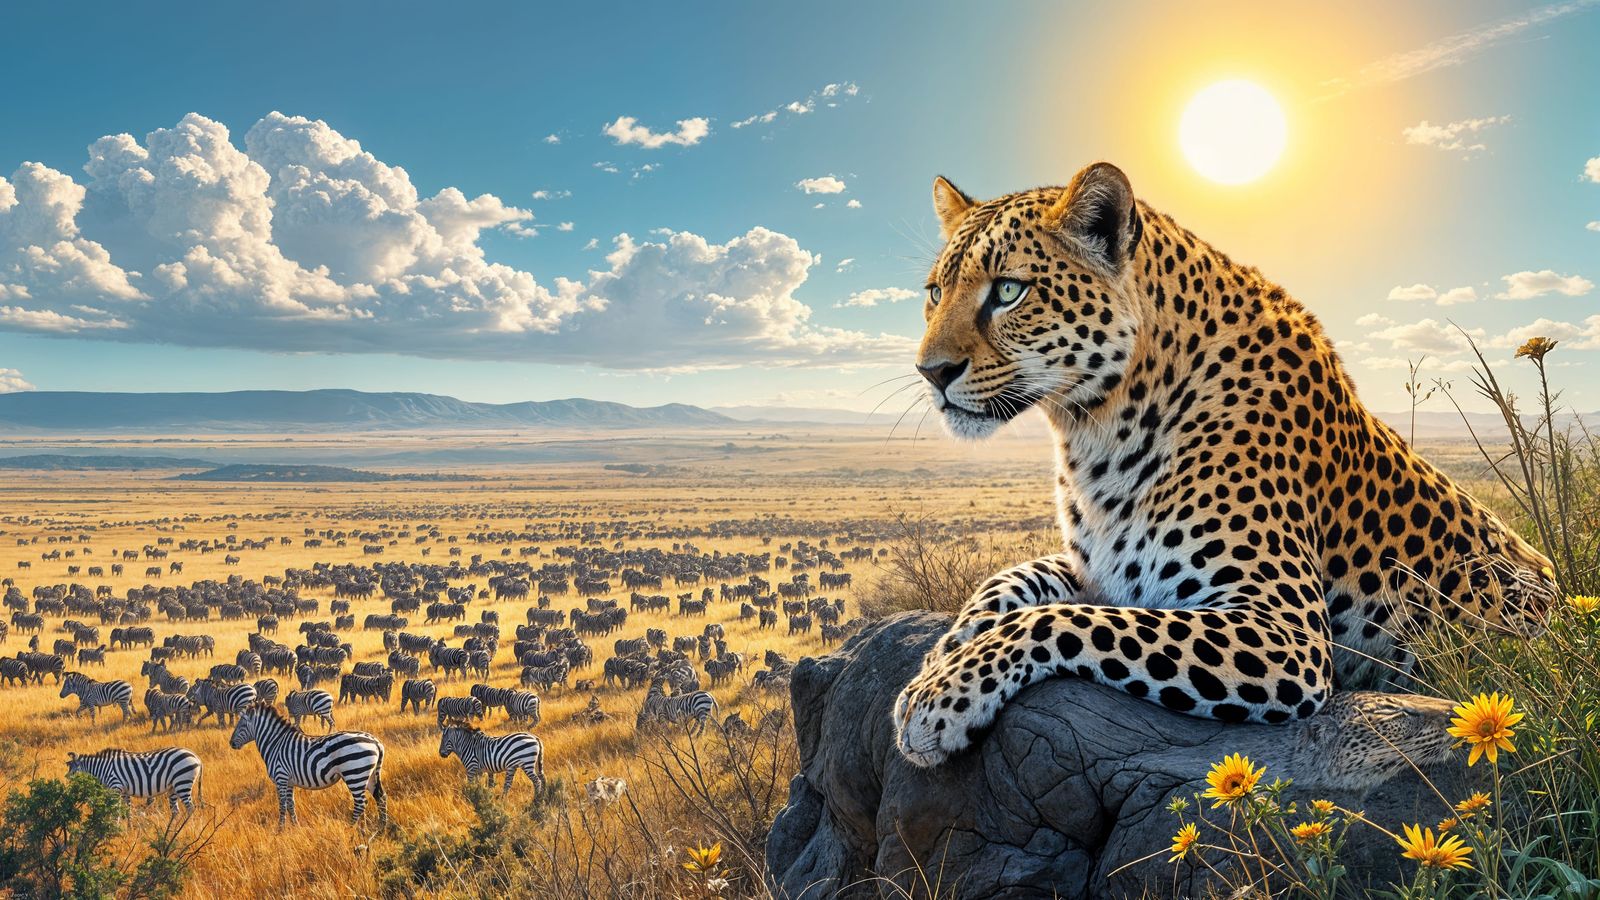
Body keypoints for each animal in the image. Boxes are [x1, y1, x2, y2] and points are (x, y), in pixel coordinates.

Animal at [893, 161, 1558, 768]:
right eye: (934, 293)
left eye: (1009, 290)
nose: (931, 372)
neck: (1093, 432)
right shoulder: (1098, 567)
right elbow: (1009, 582)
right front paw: (937, 659)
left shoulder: (1285, 633)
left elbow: (1066, 620)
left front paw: (940, 697)